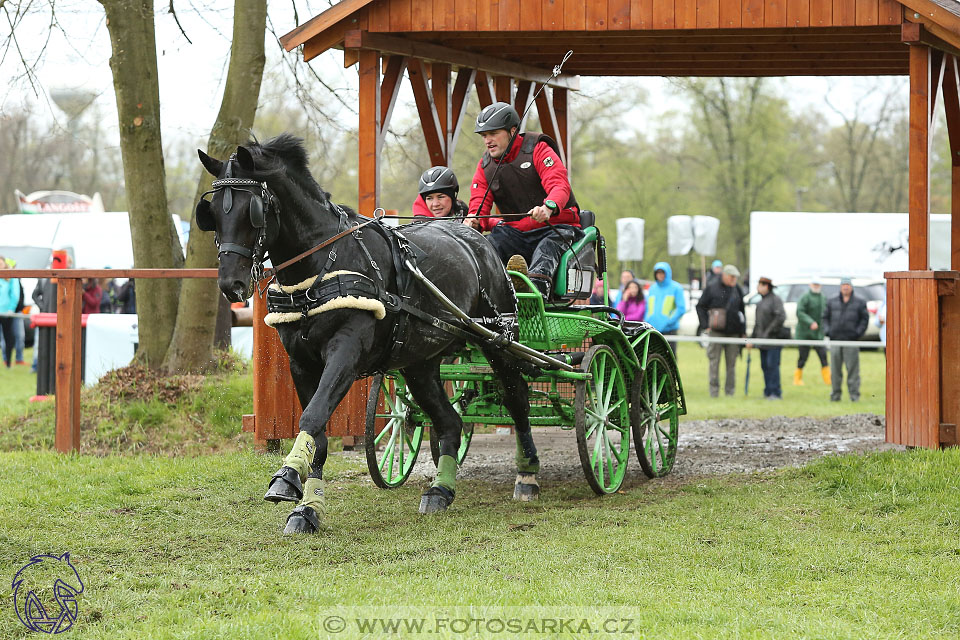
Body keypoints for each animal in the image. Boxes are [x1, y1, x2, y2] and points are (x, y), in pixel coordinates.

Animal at [197, 135, 540, 536]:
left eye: (251, 210)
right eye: (212, 212)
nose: (231, 285)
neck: (322, 263)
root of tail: (479, 241)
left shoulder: (346, 353)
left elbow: (313, 416)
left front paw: (287, 477)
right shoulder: (300, 363)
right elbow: (320, 434)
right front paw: (308, 508)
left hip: (497, 340)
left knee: (517, 399)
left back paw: (527, 475)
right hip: (419, 363)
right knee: (449, 421)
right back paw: (440, 490)